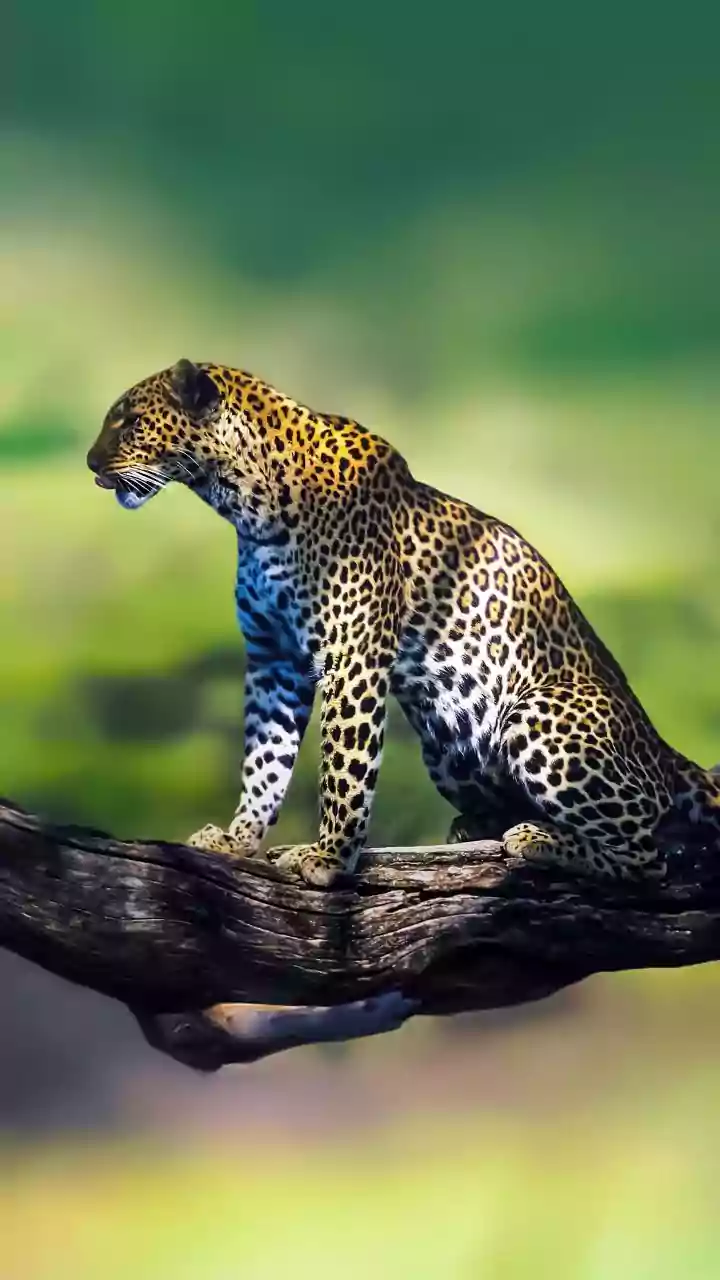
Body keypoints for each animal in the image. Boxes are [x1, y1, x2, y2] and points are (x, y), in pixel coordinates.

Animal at [86, 357, 720, 887]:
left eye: (130, 420)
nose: (91, 464)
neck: (244, 503)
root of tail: (663, 748)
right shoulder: (273, 660)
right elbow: (264, 758)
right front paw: (239, 839)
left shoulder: (352, 657)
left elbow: (343, 767)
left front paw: (328, 858)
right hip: (448, 745)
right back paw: (481, 827)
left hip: (534, 715)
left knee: (647, 855)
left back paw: (538, 840)